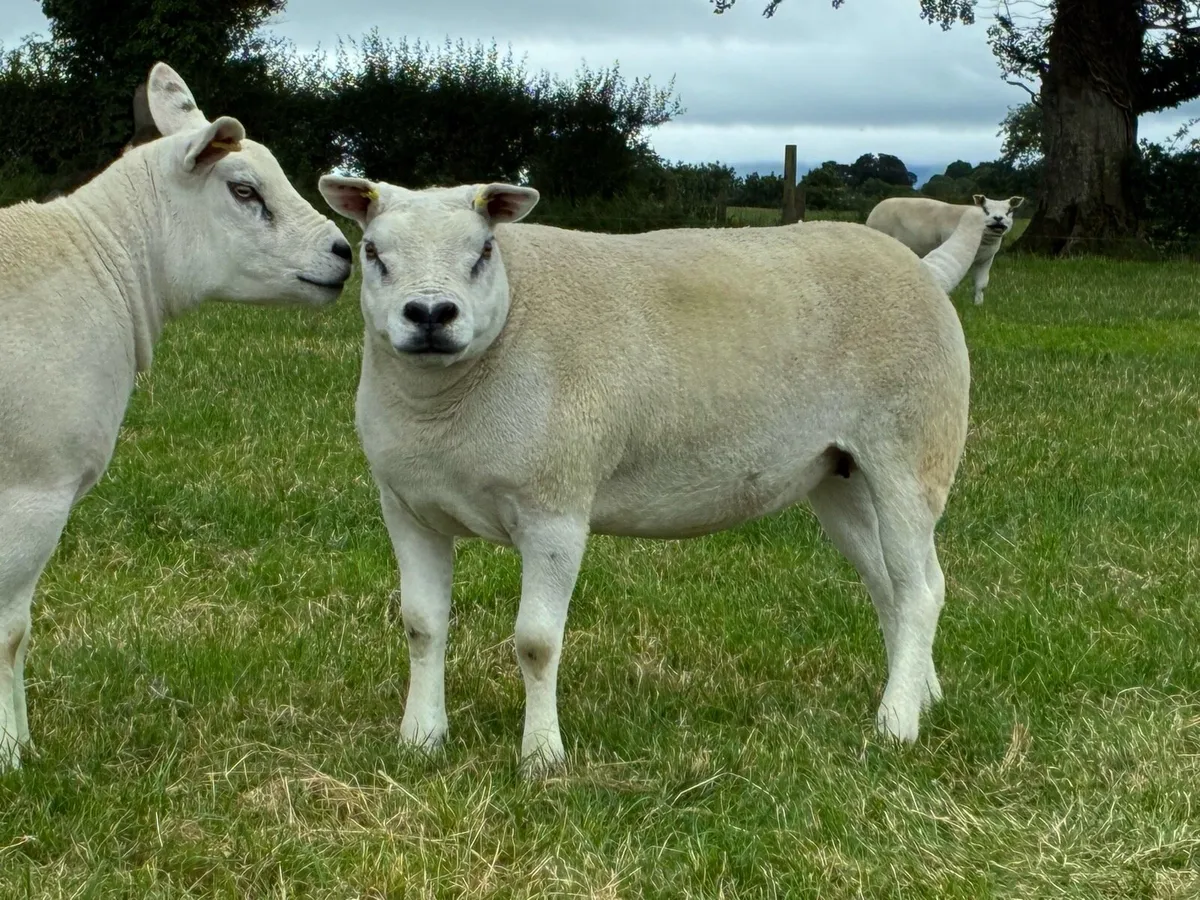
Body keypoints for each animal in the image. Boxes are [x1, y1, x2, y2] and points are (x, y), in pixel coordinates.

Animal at [0, 62, 353, 770]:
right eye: (244, 190)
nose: (344, 252)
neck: (106, 263)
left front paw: (20, 747)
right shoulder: (31, 484)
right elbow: (7, 634)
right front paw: (7, 757)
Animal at [319, 175, 982, 777]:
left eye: (483, 250)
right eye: (373, 252)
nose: (431, 314)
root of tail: (925, 270)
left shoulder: (556, 506)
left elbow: (536, 642)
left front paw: (542, 759)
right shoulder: (408, 509)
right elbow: (422, 627)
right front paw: (420, 740)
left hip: (912, 449)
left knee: (920, 592)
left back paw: (896, 723)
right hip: (840, 475)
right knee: (893, 585)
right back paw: (921, 696)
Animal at [866, 194, 1024, 304]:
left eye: (1009, 211)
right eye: (985, 210)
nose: (998, 218)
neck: (984, 242)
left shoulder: (987, 259)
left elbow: (981, 284)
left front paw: (978, 304)